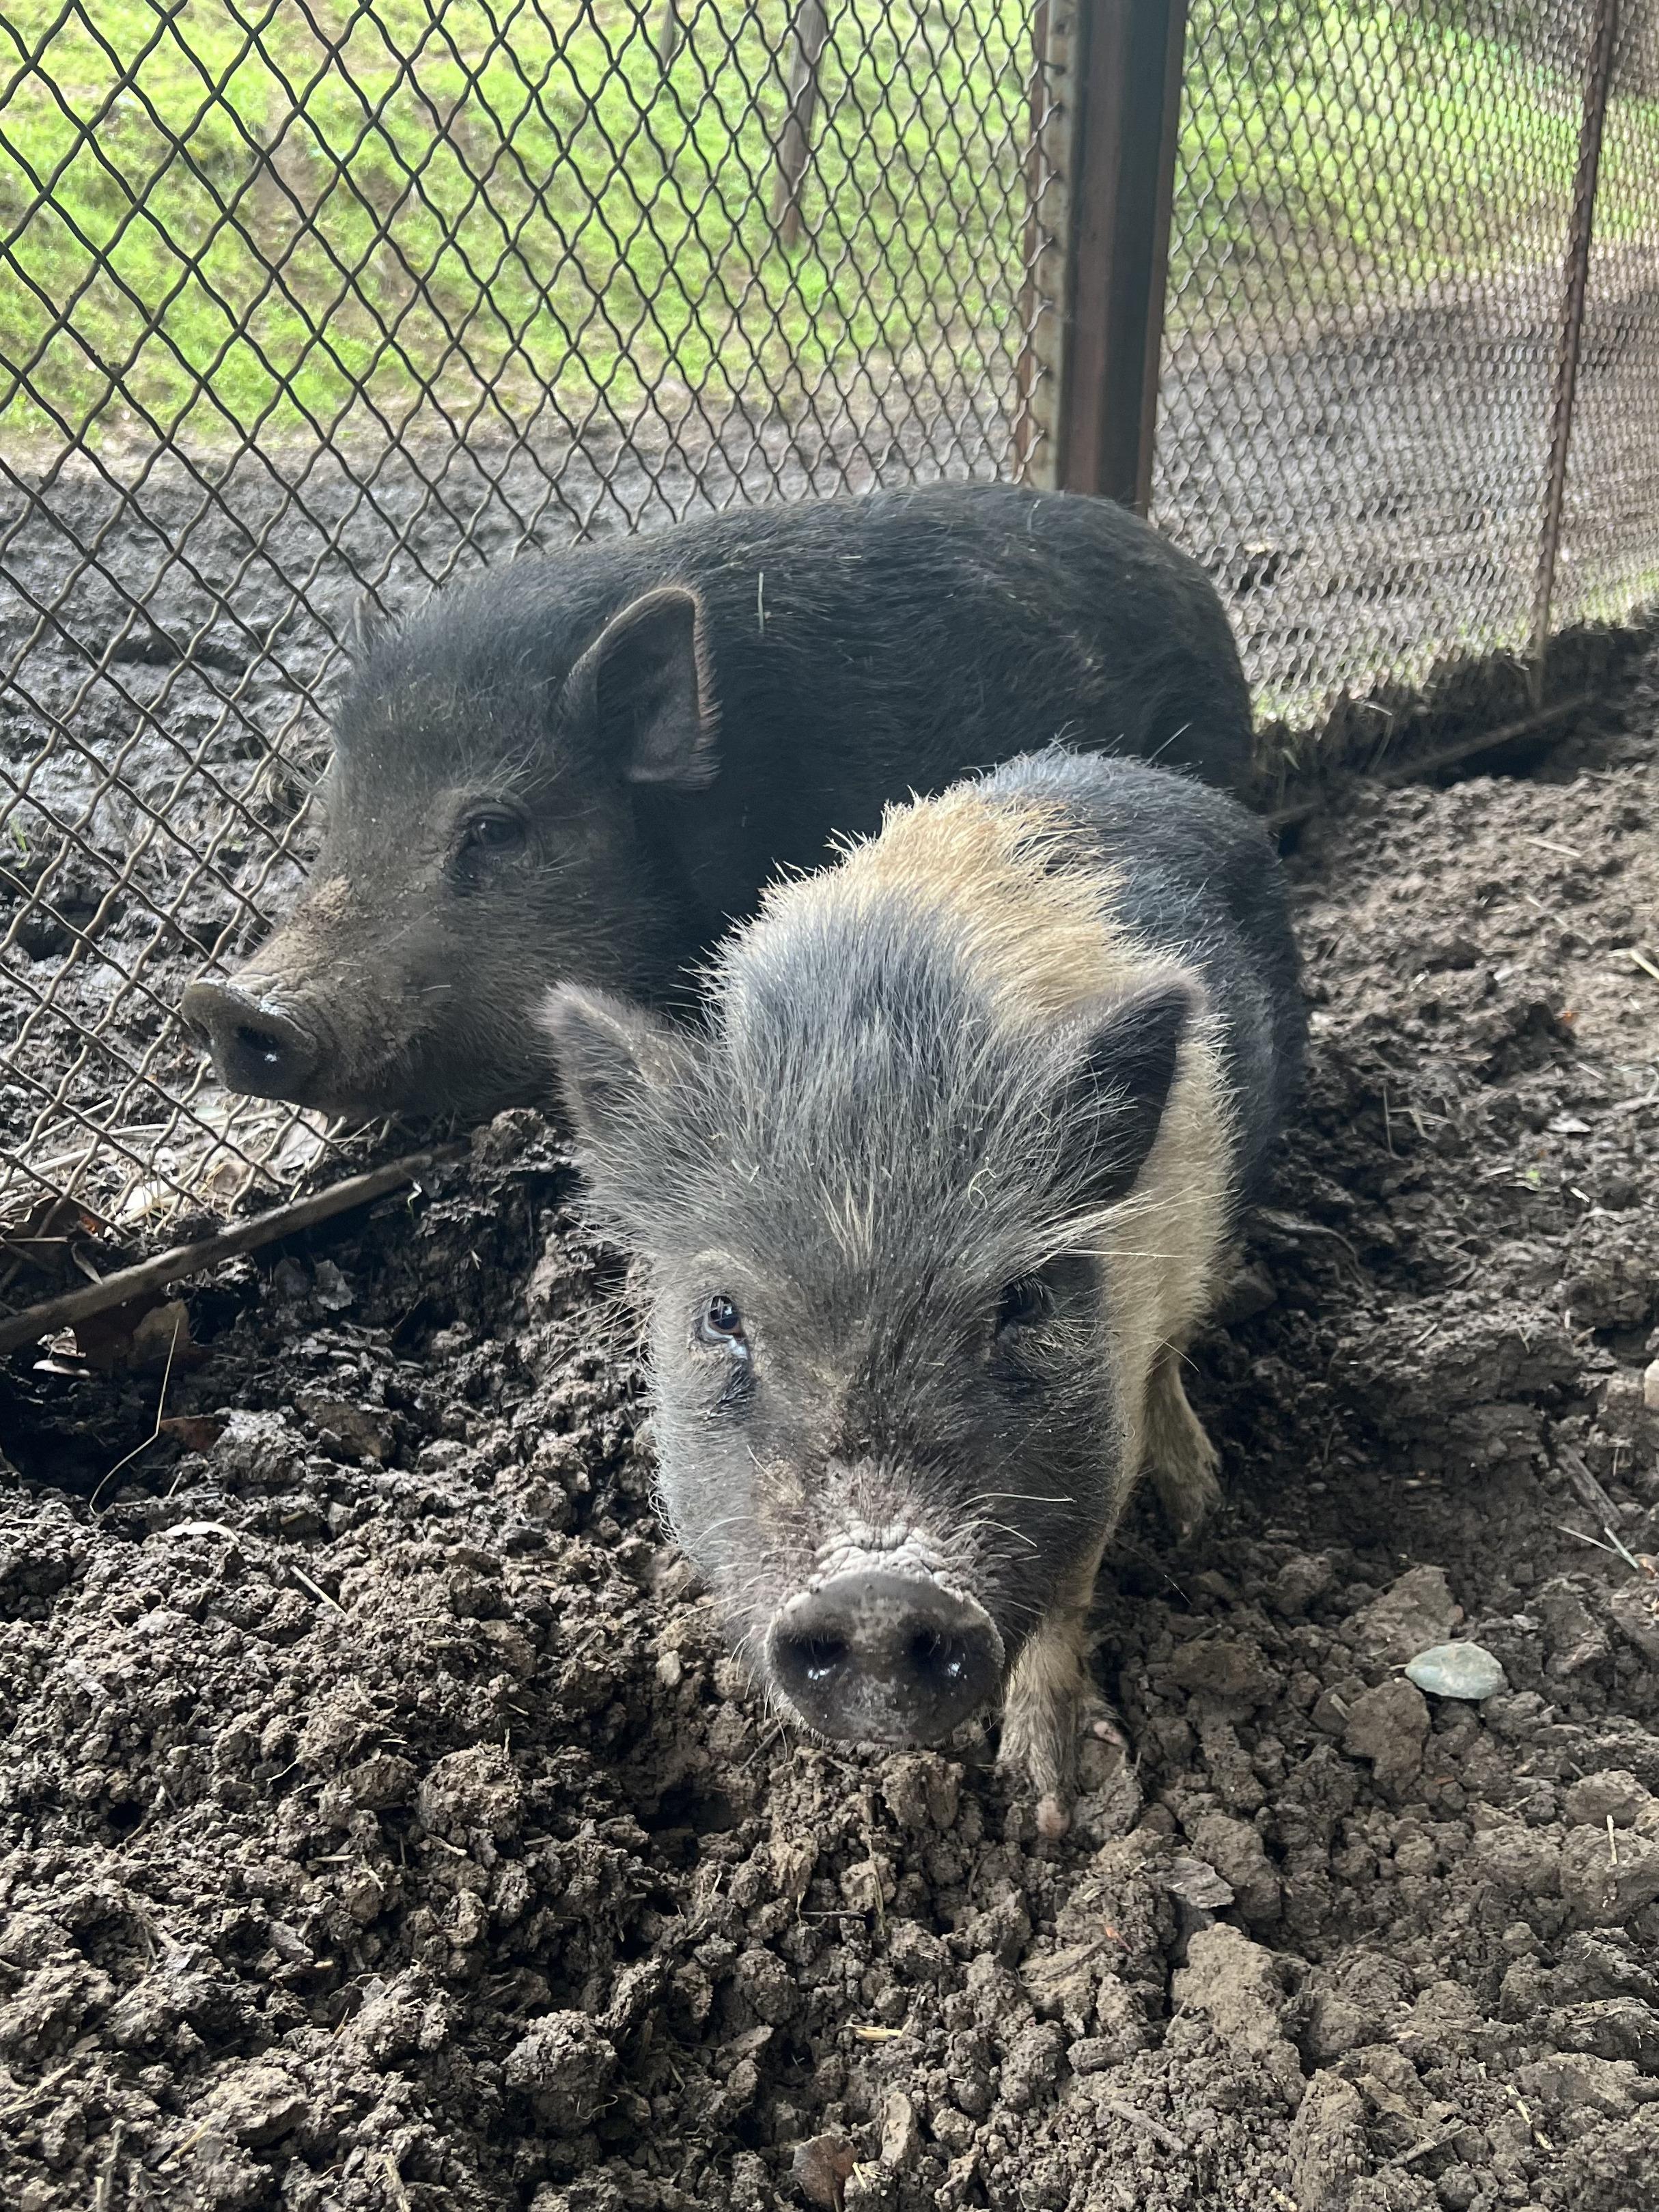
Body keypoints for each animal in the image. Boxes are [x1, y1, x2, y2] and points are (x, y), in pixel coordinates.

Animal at [542, 748, 1303, 1833]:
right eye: (721, 1314)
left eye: (1021, 1301)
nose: (877, 1590)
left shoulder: (1096, 1446)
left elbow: (1066, 1599)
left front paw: (1048, 1802)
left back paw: (1199, 1500)